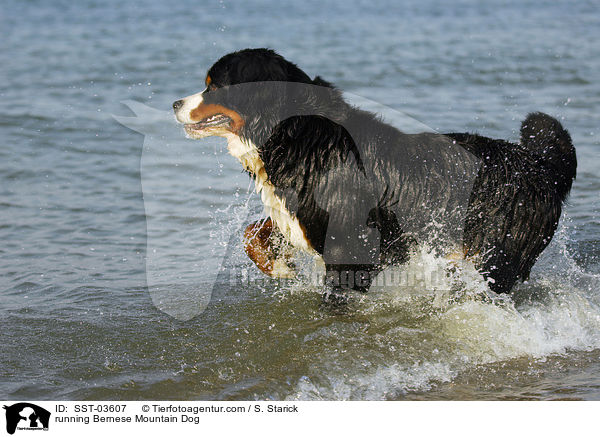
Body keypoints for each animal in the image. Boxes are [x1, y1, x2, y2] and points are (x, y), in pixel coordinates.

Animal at [172, 49, 576, 298]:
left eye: (213, 85)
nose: (175, 103)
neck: (297, 133)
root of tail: (538, 163)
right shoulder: (302, 215)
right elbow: (253, 234)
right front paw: (280, 267)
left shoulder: (352, 247)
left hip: (496, 258)